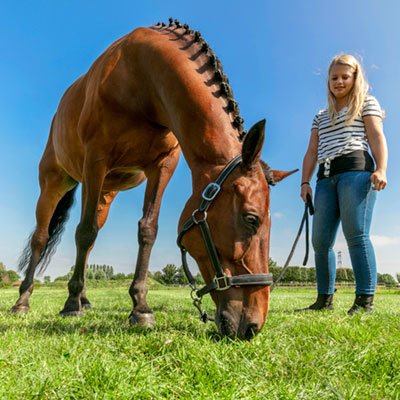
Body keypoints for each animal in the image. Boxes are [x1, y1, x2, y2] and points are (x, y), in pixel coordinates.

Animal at [11, 18, 294, 338]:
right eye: (251, 219)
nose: (253, 326)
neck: (139, 78)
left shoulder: (162, 166)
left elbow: (147, 230)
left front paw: (140, 308)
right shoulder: (95, 159)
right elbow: (83, 233)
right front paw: (70, 306)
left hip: (104, 193)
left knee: (90, 239)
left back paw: (83, 298)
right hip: (54, 182)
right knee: (42, 237)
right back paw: (24, 301)